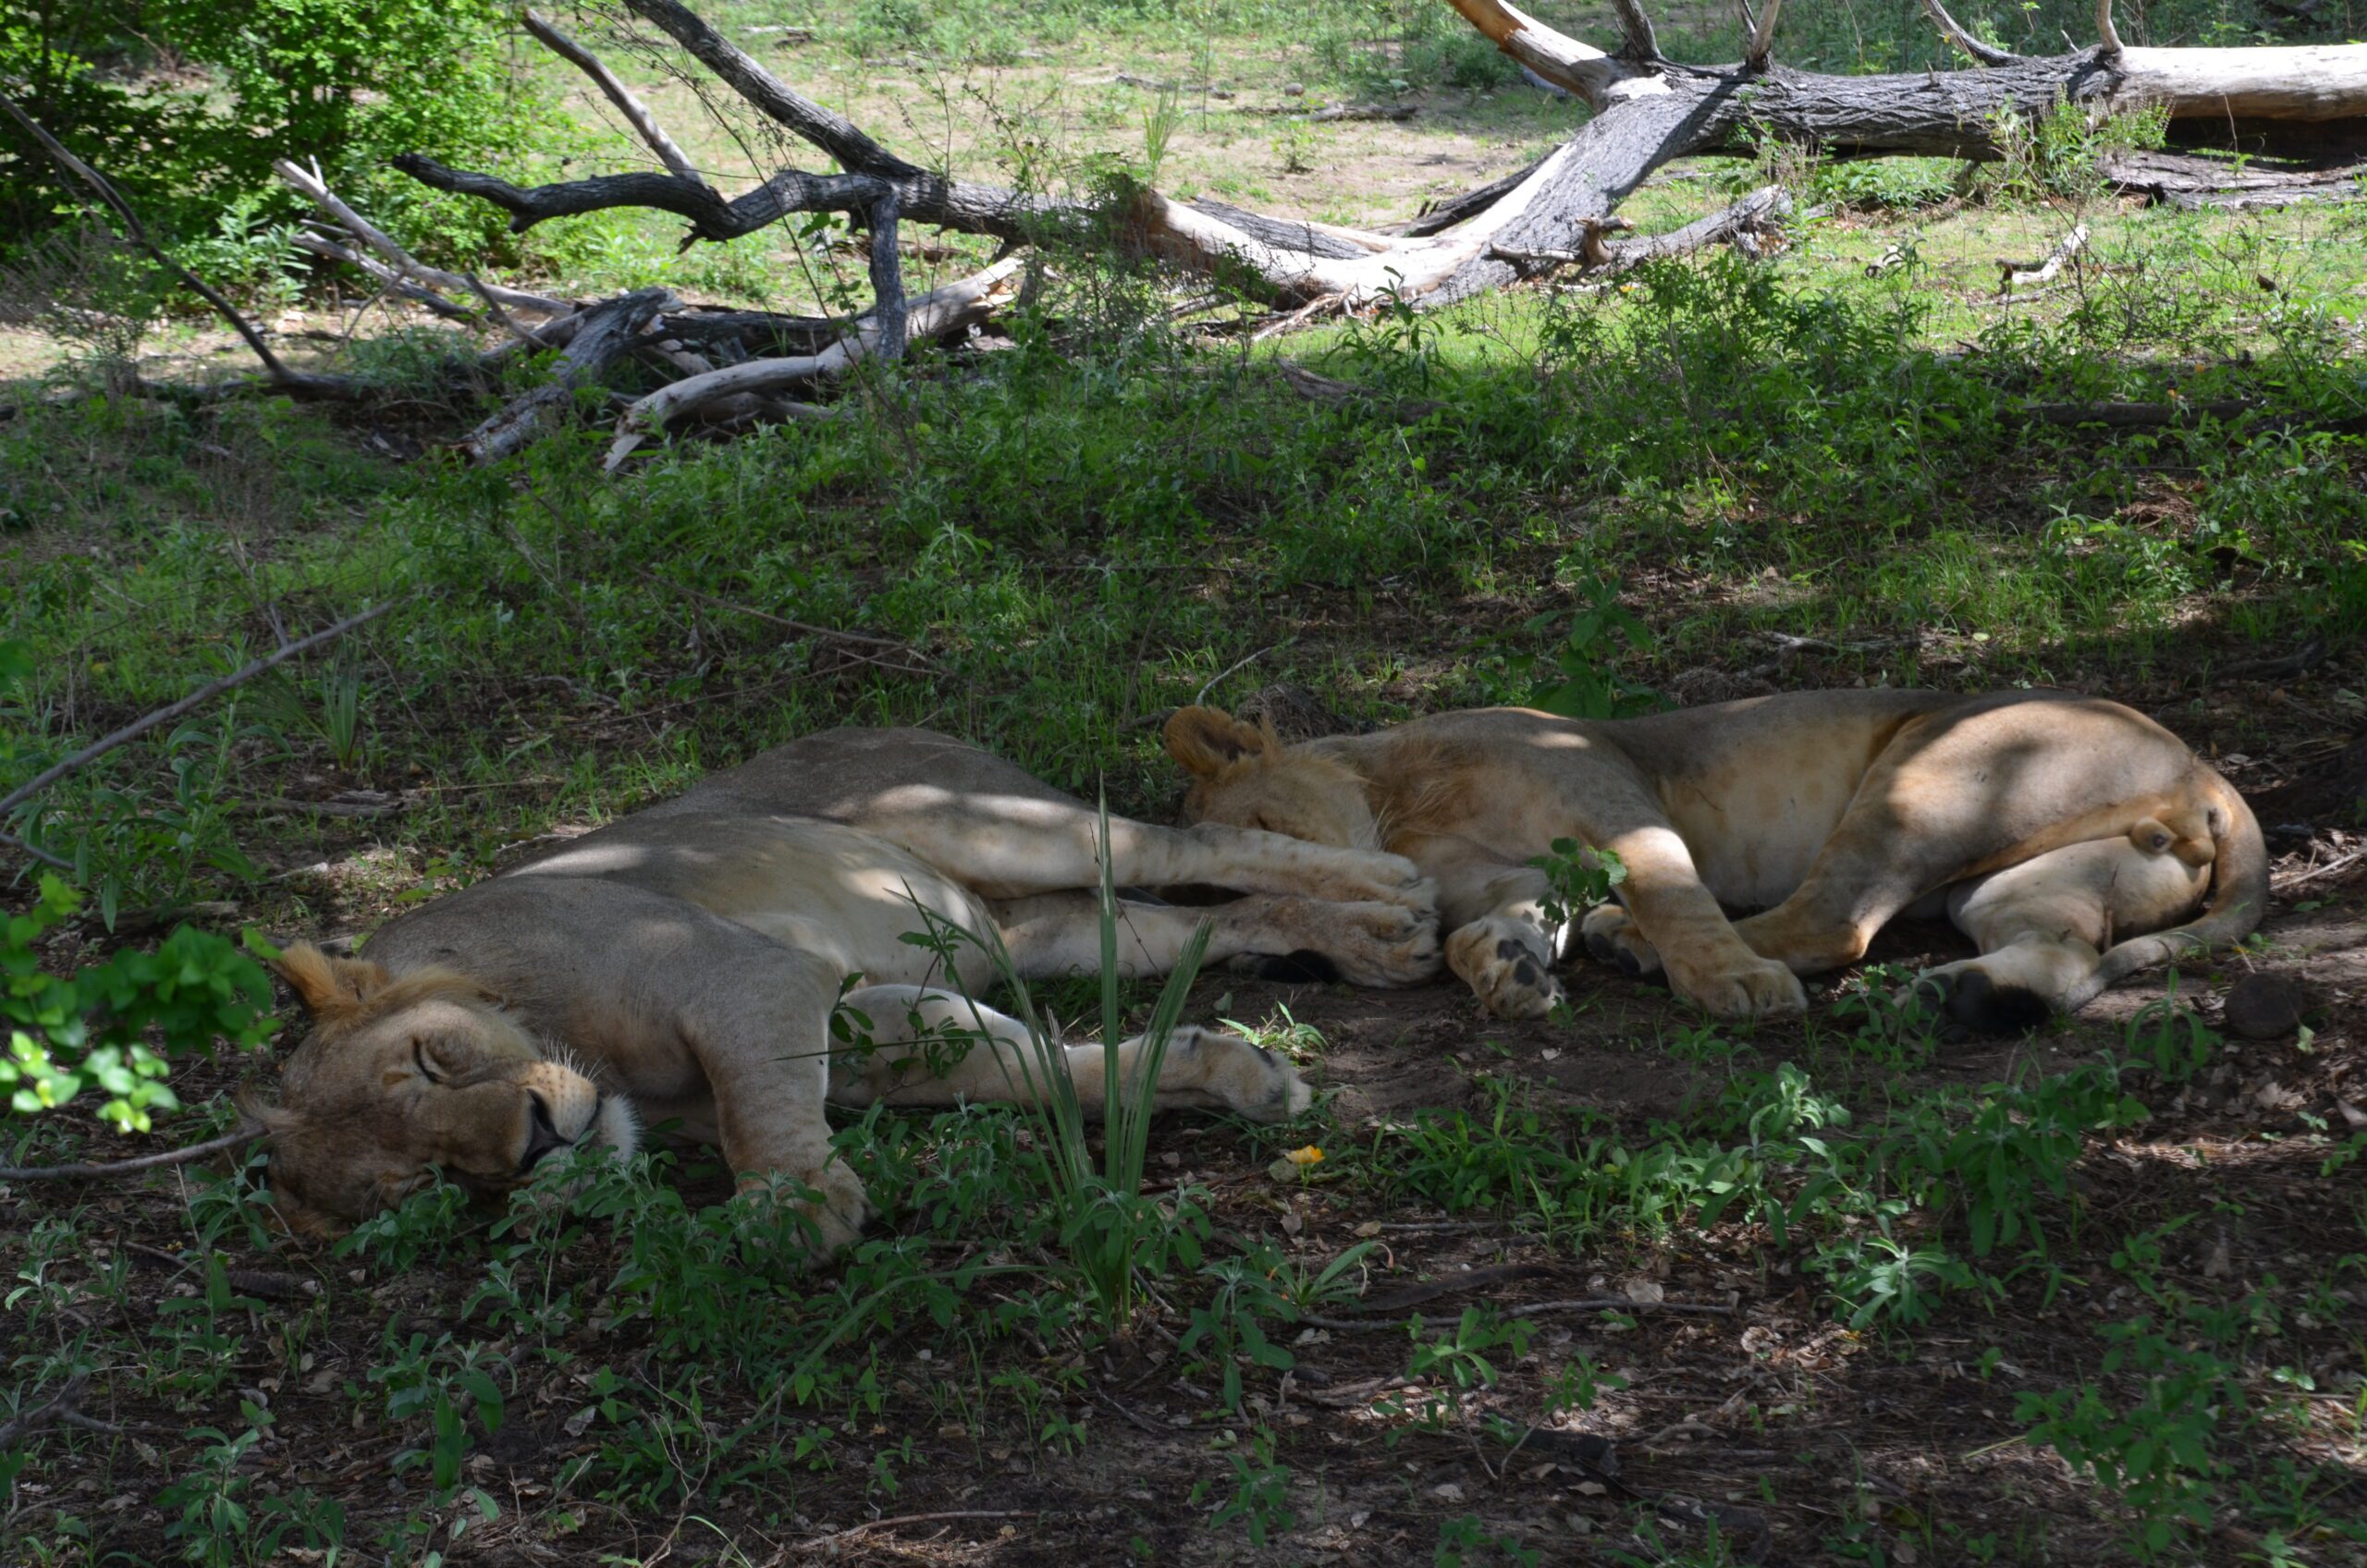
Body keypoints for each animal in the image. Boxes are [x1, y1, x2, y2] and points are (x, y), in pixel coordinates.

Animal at [259, 729, 1439, 1250]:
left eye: (430, 1057)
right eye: (433, 1179)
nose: (535, 1145)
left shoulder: (747, 973)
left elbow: (755, 1106)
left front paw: (792, 1206)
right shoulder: (874, 1020)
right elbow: (1057, 1071)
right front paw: (1237, 1074)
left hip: (1002, 824)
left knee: (1198, 844)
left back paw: (1393, 893)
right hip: (1048, 929)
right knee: (1209, 921)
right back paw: (1367, 941)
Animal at [1164, 692, 2272, 1037]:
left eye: (1261, 843)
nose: (1293, 962)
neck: (1402, 809)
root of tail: (2203, 765)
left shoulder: (1619, 801)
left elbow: (1674, 891)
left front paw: (1726, 980)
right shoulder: (1523, 873)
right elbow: (1512, 919)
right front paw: (1503, 967)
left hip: (1928, 770)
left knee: (1832, 921)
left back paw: (1647, 947)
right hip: (2014, 879)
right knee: (2059, 951)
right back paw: (1951, 997)